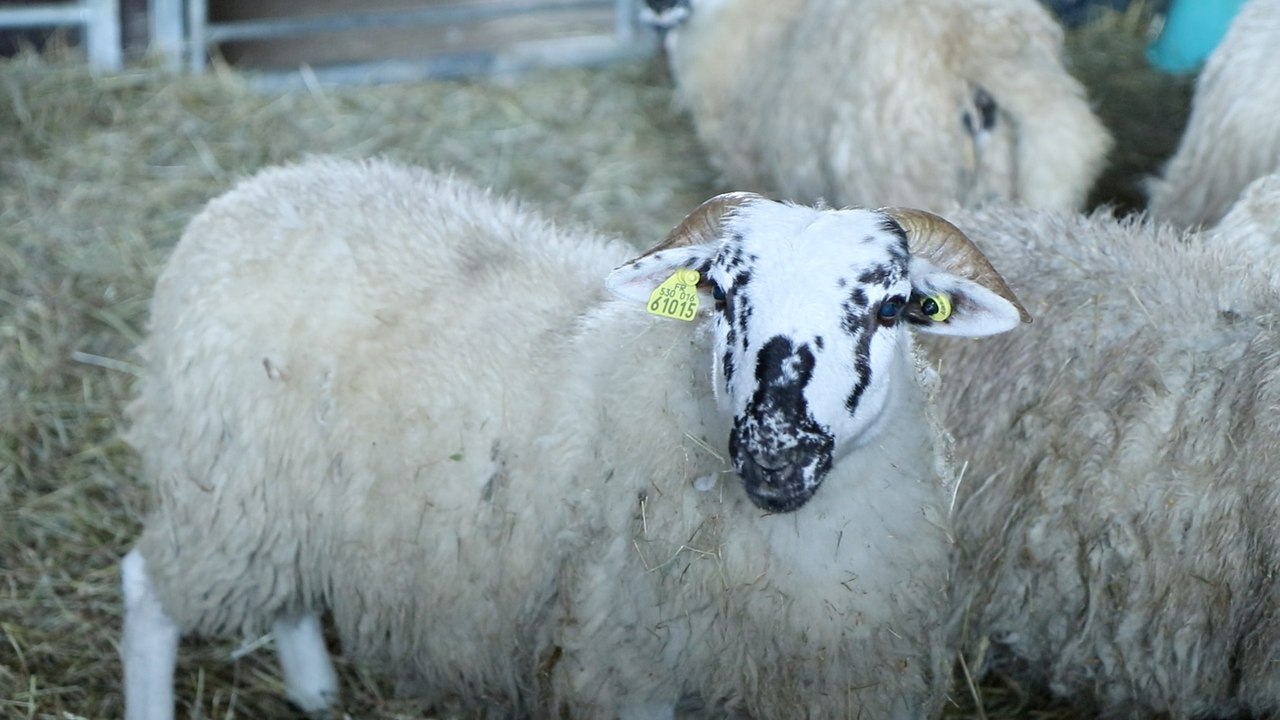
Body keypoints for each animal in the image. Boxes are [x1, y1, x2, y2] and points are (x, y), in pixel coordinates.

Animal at [120, 155, 1029, 720]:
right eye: (719, 292)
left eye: (890, 307)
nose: (775, 455)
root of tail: (257, 189)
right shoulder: (626, 661)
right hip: (222, 485)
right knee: (147, 591)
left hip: (287, 490)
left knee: (288, 586)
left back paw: (313, 689)